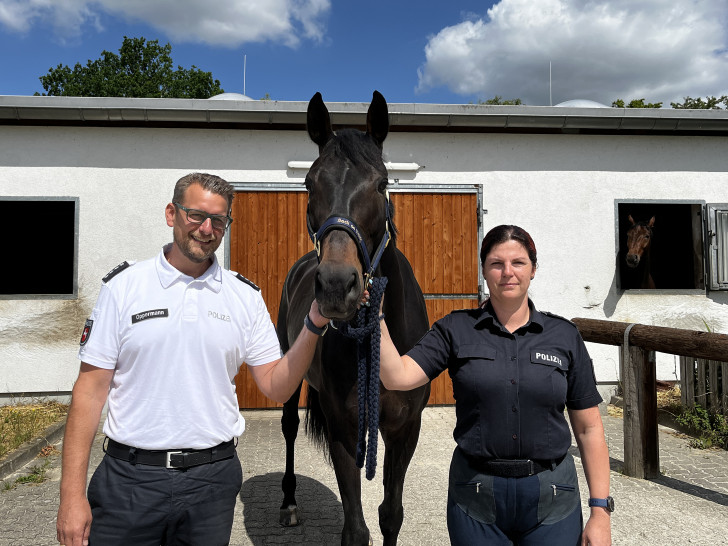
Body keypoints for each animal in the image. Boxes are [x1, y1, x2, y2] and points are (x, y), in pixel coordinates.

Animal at [276, 91, 430, 540]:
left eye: (381, 183)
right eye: (309, 183)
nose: (335, 285)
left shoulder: (404, 432)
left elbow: (391, 514)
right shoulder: (343, 432)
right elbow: (356, 529)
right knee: (288, 426)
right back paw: (288, 504)